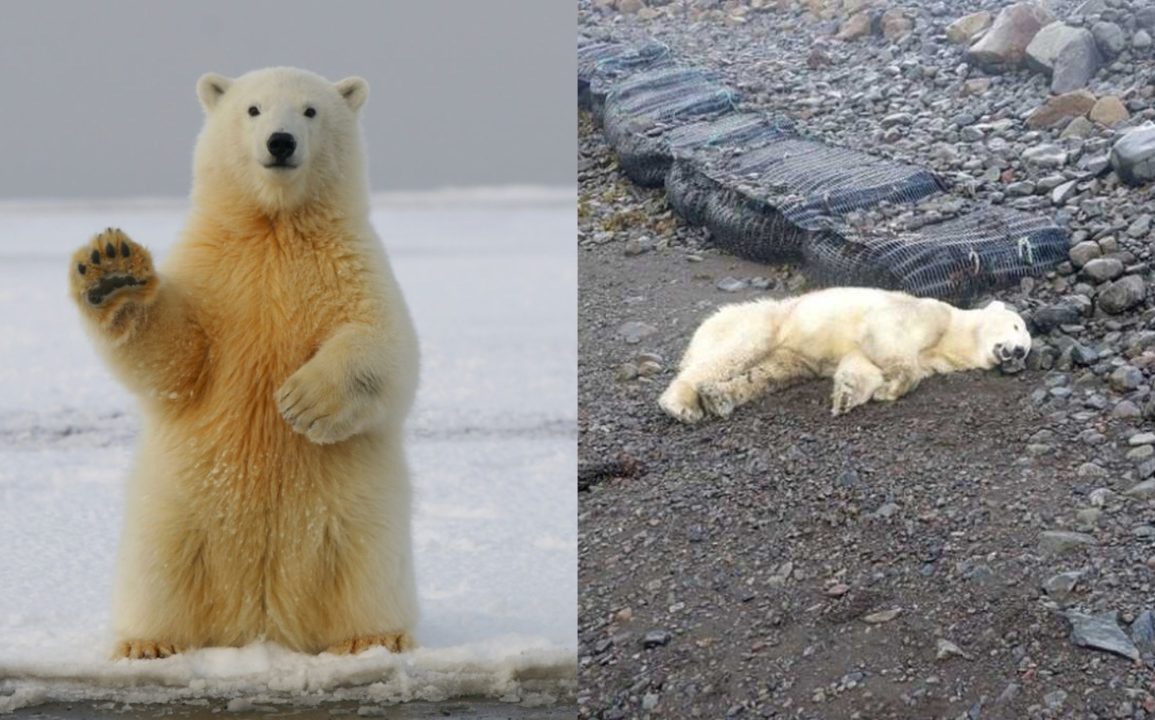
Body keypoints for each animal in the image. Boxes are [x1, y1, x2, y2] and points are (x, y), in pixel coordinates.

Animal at [69, 67, 420, 661]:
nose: (280, 142)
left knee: (366, 569)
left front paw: (301, 402)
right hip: (175, 511)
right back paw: (147, 644)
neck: (274, 227)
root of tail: (261, 622)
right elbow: (177, 359)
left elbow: (386, 345)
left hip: (358, 516)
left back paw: (374, 637)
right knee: (158, 570)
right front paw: (111, 271)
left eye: (310, 111)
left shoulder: (350, 264)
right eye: (253, 109)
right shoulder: (215, 271)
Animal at [660, 287, 1030, 422]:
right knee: (733, 354)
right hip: (764, 322)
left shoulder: (932, 358)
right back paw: (681, 404)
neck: (952, 335)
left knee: (770, 374)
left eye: (1027, 349)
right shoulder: (924, 313)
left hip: (790, 355)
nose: (1019, 351)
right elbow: (888, 338)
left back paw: (719, 398)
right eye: (1016, 326)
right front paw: (892, 386)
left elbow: (860, 364)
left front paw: (848, 395)